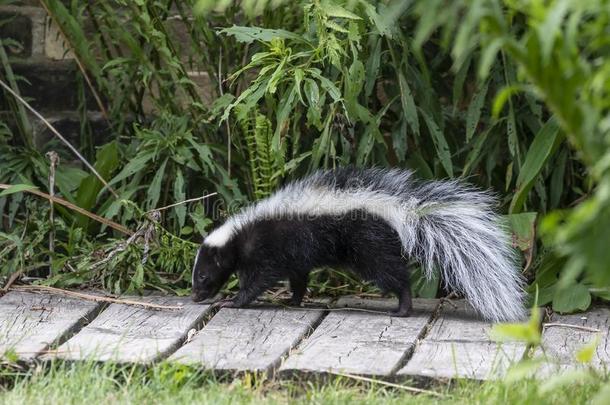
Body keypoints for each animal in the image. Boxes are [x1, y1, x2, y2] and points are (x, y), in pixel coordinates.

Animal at [192, 166, 524, 320]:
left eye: (204, 276)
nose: (195, 296)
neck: (240, 233)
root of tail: (399, 209)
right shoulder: (292, 255)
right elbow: (298, 277)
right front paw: (294, 300)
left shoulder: (266, 248)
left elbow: (258, 279)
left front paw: (234, 300)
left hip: (368, 247)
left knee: (396, 275)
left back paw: (402, 308)